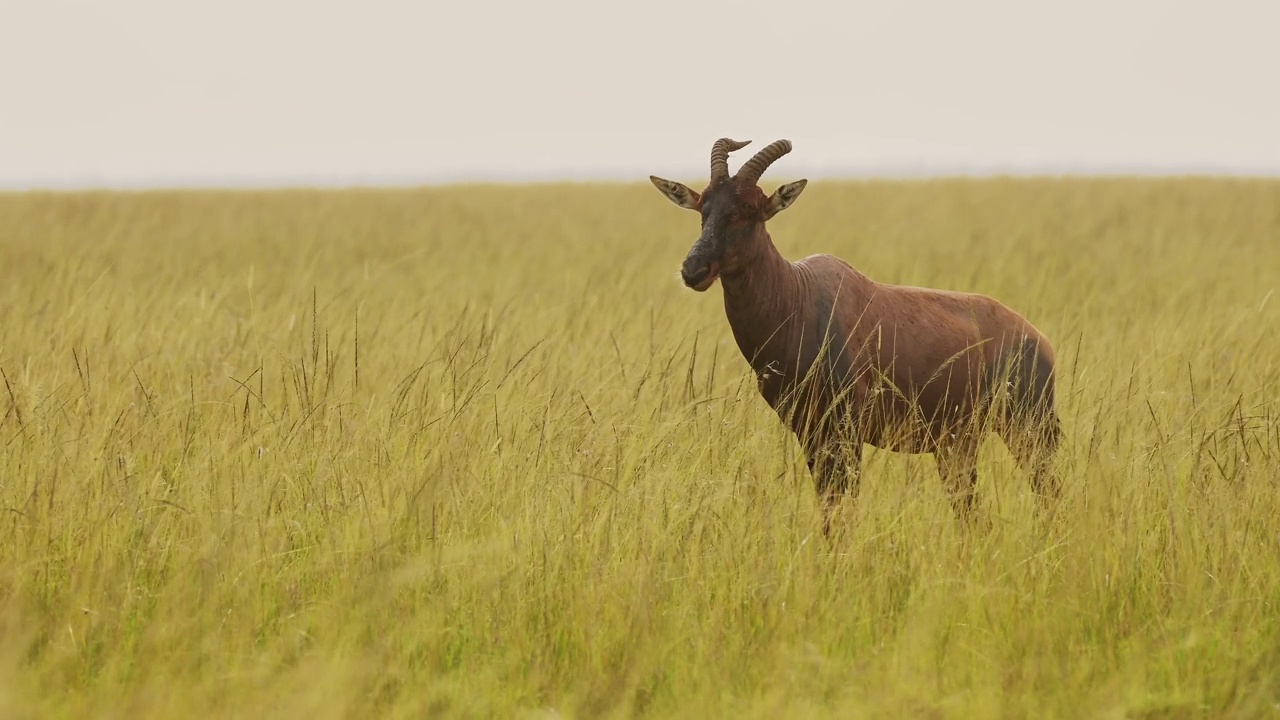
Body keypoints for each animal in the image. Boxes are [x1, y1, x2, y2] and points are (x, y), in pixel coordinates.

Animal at [650, 139, 1059, 532]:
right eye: (703, 208)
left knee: (1048, 493)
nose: (693, 270)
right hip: (958, 444)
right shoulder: (808, 431)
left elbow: (843, 510)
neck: (798, 294)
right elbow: (830, 511)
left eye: (748, 210)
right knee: (972, 513)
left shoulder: (845, 431)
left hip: (1031, 430)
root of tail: (1039, 340)